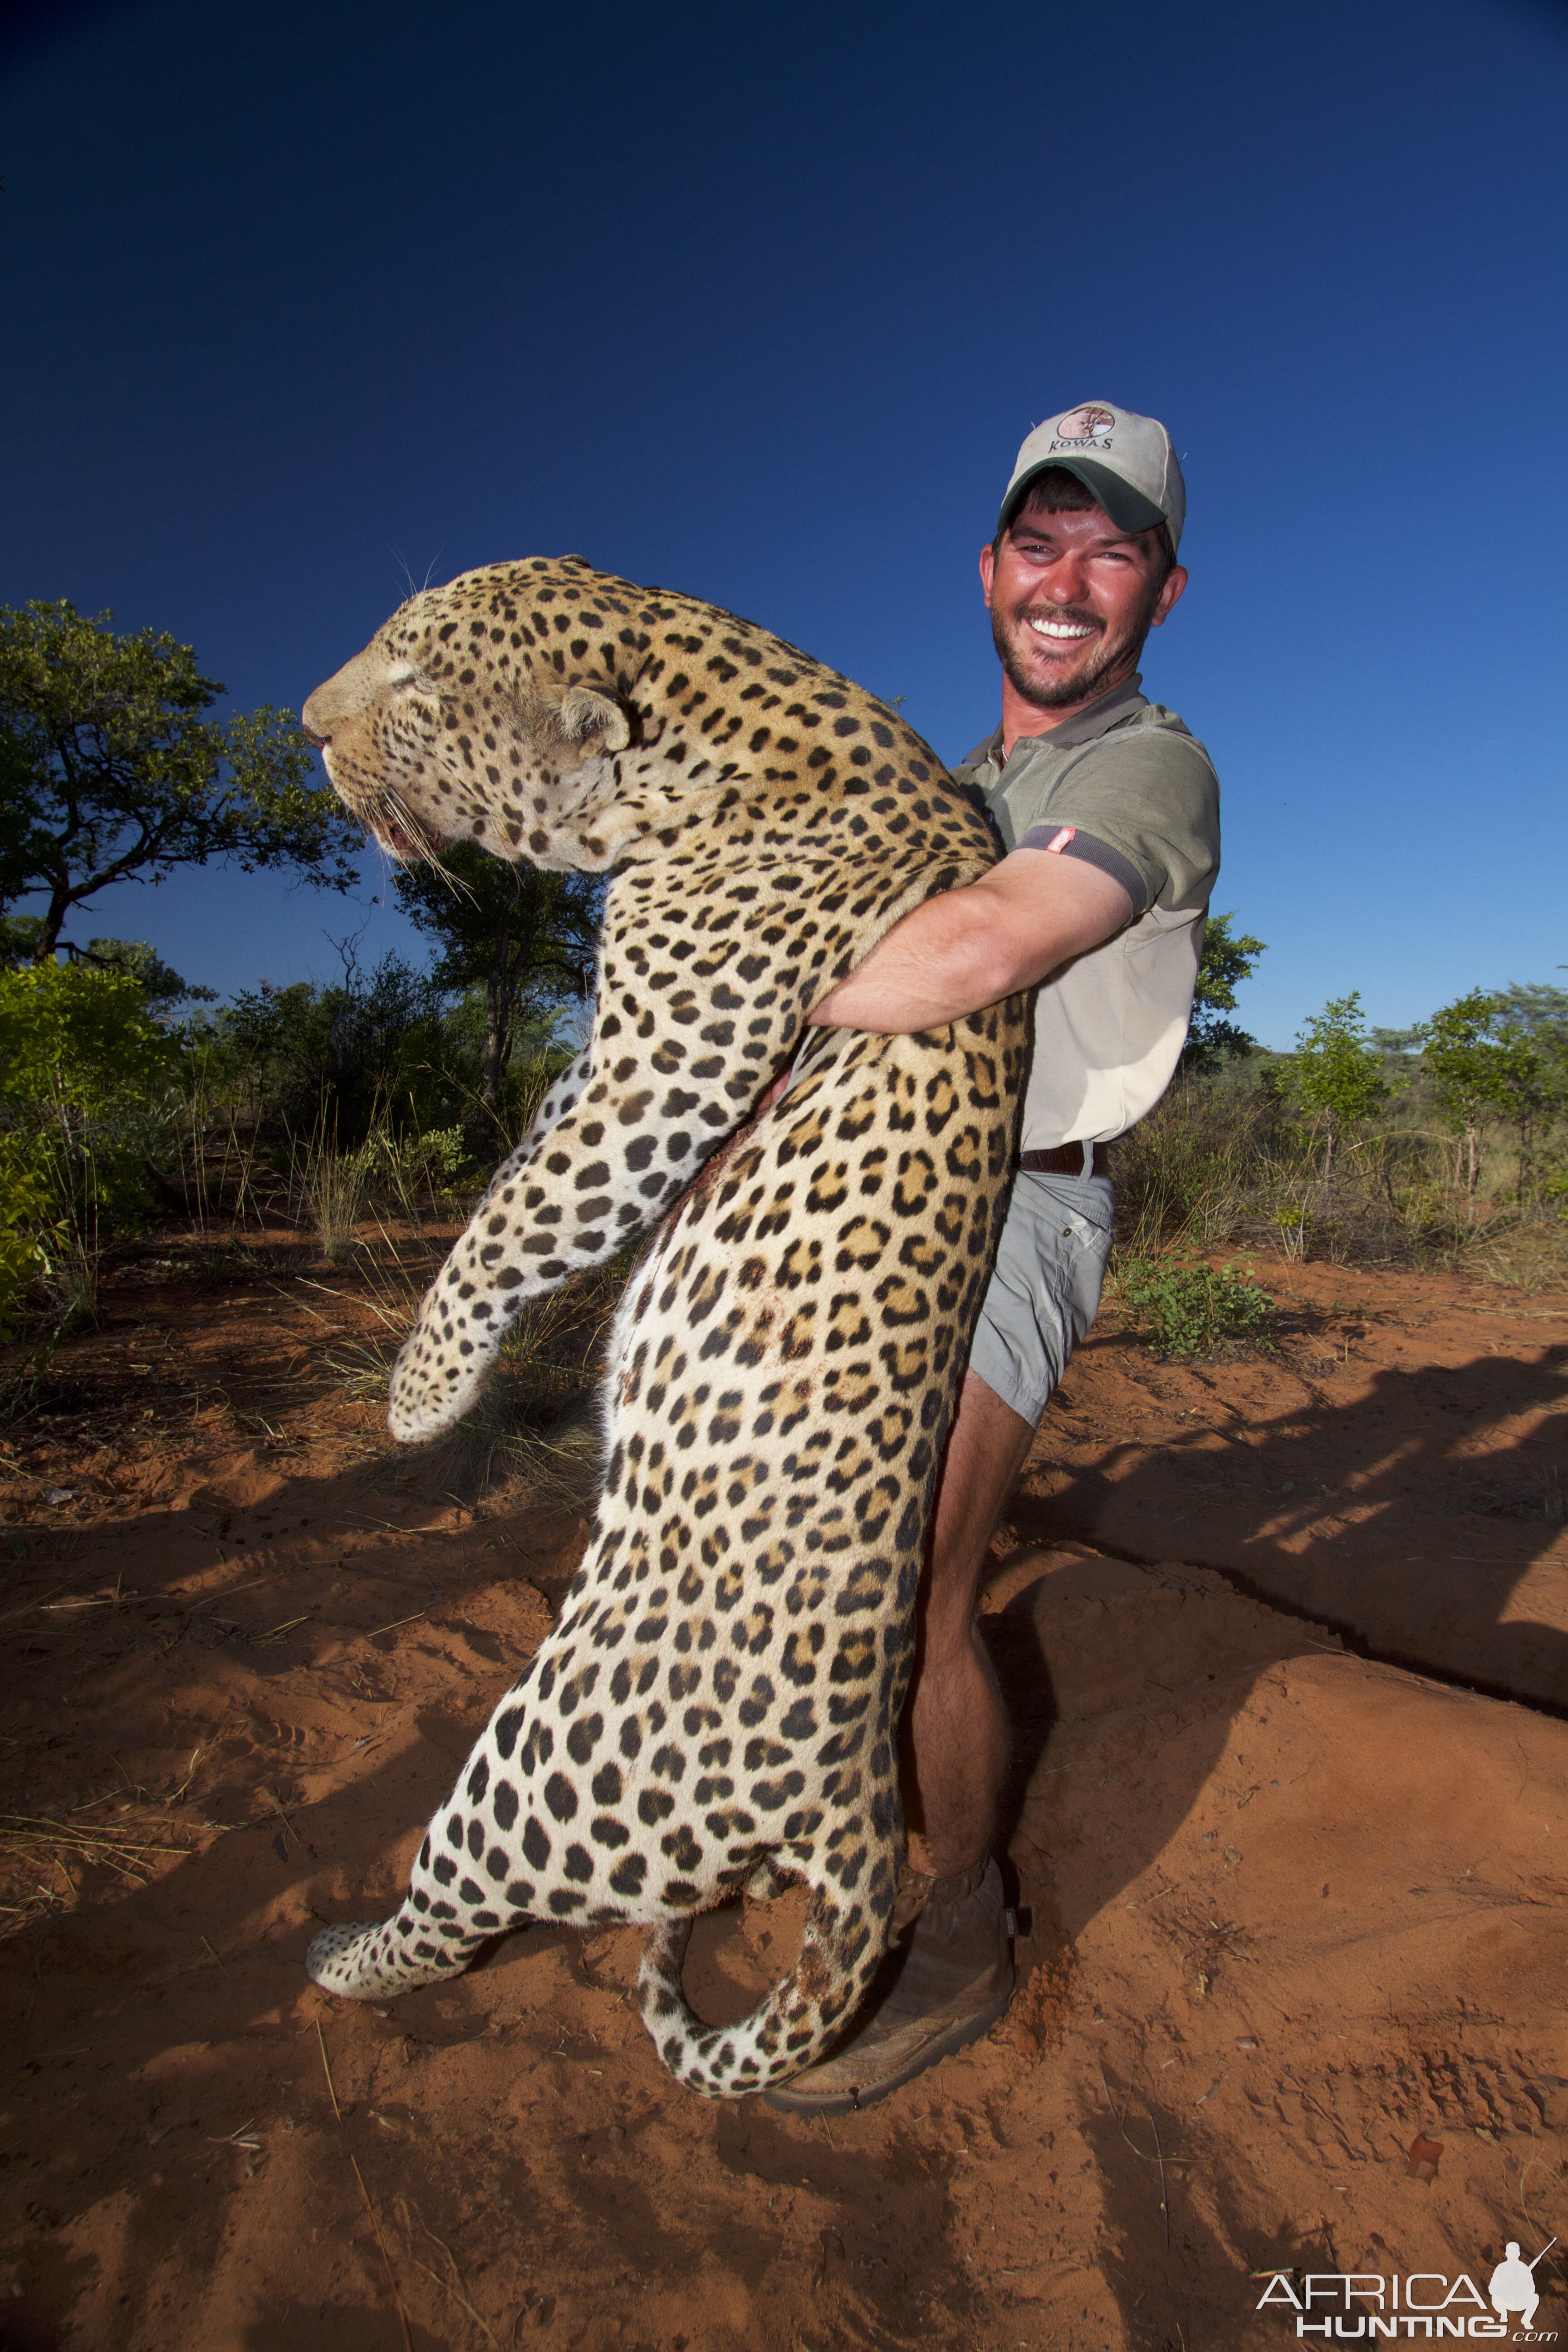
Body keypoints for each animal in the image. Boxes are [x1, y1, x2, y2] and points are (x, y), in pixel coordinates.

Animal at [297, 550, 1029, 2098]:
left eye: (415, 679)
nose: (308, 728)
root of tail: (859, 1810)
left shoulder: (665, 1065)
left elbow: (523, 1213)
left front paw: (419, 1395)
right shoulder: (608, 1051)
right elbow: (517, 1169)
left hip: (539, 1757)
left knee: (455, 1908)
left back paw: (341, 1958)